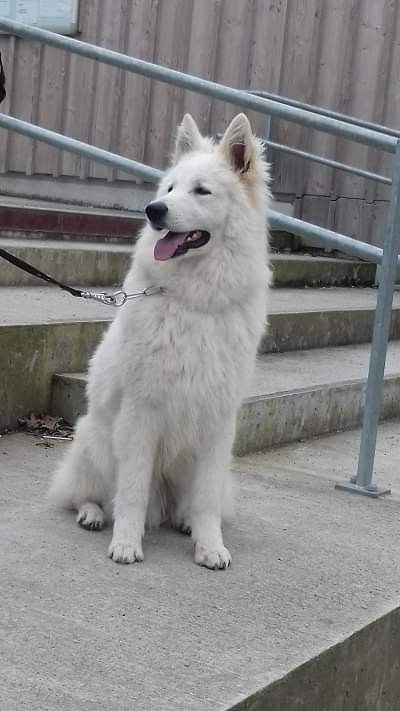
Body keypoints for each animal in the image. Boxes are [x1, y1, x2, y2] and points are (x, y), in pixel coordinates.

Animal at [48, 114, 270, 572]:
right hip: (95, 441)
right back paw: (93, 514)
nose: (154, 211)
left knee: (189, 502)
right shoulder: (140, 412)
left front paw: (209, 546)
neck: (194, 301)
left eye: (201, 190)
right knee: (87, 493)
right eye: (169, 189)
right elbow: (132, 491)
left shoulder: (218, 420)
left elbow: (205, 500)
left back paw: (184, 521)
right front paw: (126, 543)